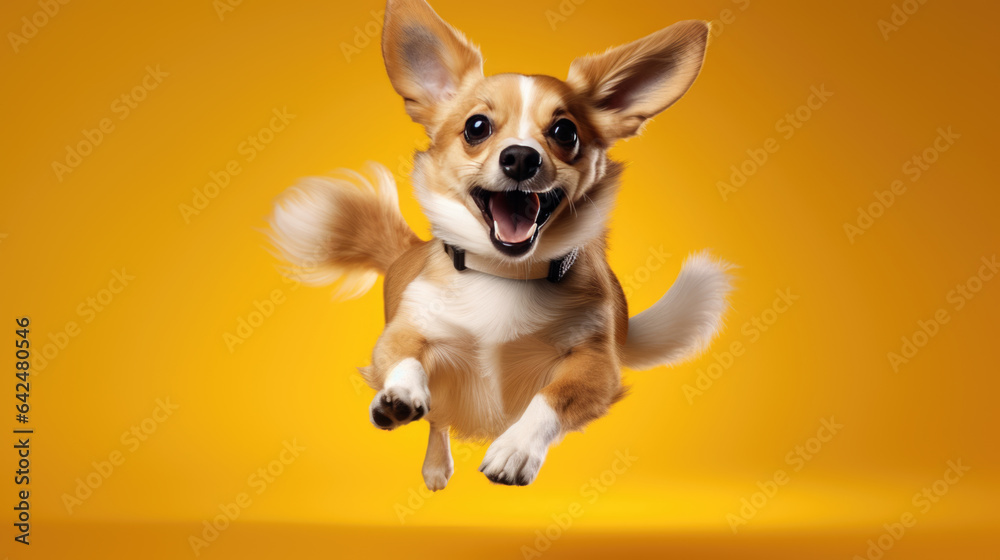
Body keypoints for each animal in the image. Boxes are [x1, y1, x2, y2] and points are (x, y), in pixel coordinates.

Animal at [266, 0, 736, 488]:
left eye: (565, 132)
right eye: (477, 127)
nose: (521, 157)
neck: (504, 273)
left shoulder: (595, 364)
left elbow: (551, 396)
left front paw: (516, 448)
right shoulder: (403, 332)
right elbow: (406, 359)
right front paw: (400, 395)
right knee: (439, 419)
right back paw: (436, 465)